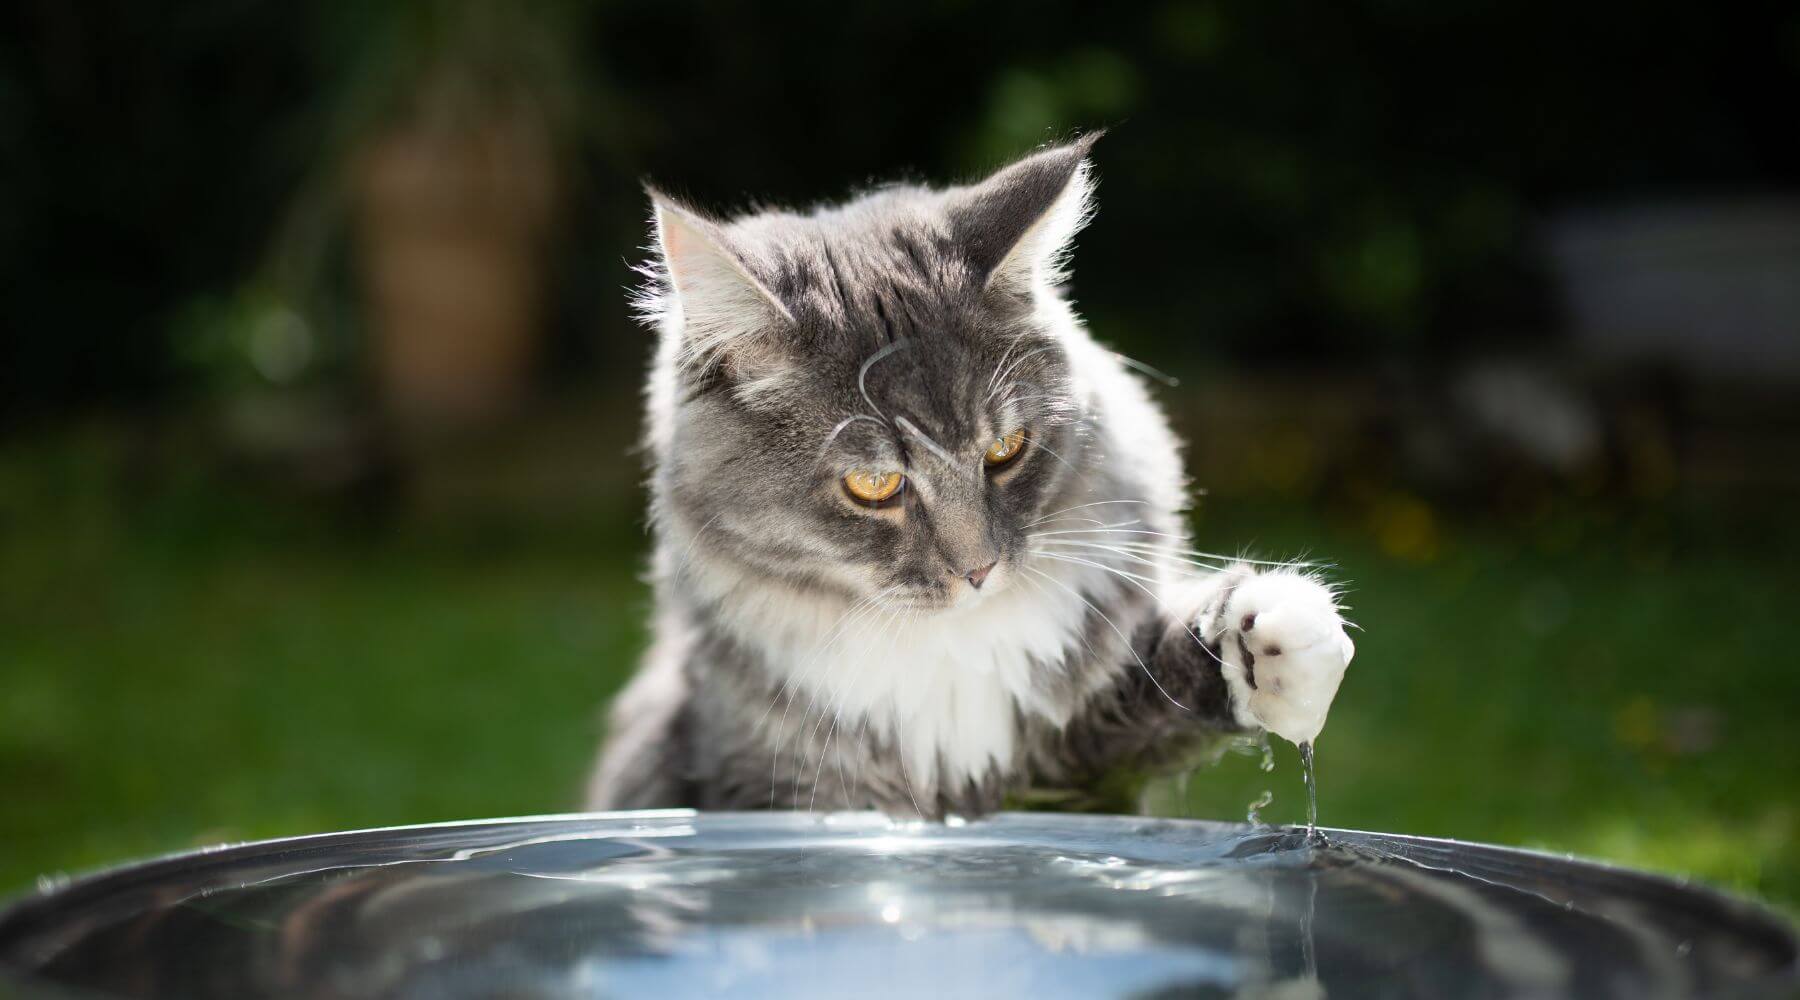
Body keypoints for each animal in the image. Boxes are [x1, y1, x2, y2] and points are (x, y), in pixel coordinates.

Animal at [586, 134, 1353, 820]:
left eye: (1006, 450)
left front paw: (1279, 642)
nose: (979, 572)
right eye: (874, 486)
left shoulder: (1080, 767)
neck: (944, 653)